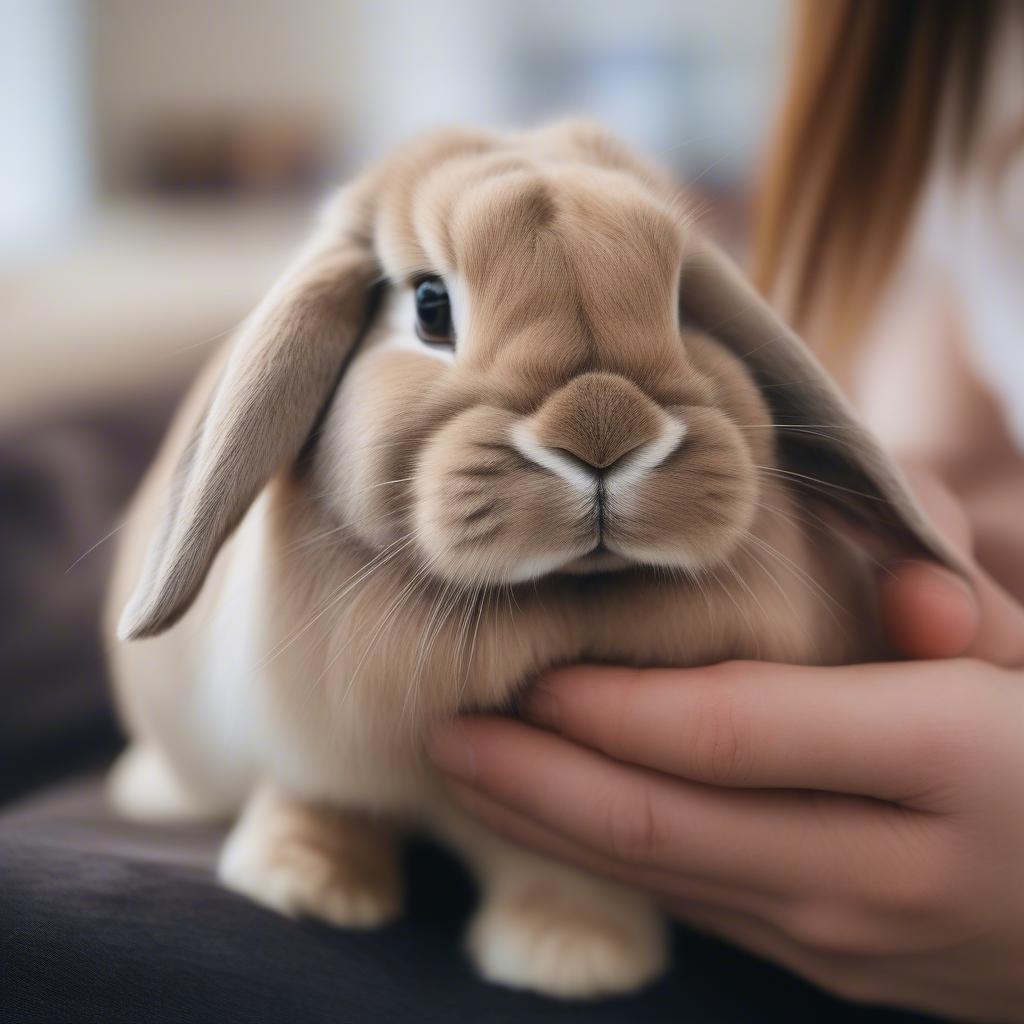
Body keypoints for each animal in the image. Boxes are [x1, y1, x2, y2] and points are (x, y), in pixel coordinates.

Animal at [101, 119, 950, 999]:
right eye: (430, 306)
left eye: (683, 302)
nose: (602, 430)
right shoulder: (319, 743)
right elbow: (320, 799)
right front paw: (302, 884)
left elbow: (566, 874)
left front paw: (573, 959)